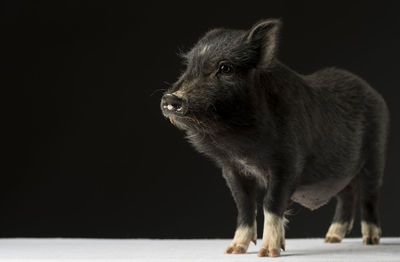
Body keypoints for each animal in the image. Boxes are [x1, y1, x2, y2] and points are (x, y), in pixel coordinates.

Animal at [160, 19, 390, 256]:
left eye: (225, 68)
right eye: (188, 65)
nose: (171, 99)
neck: (243, 147)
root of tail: (376, 95)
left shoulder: (287, 163)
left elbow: (270, 203)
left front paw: (268, 253)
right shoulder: (232, 168)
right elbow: (244, 205)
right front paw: (233, 250)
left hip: (376, 152)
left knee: (369, 196)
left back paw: (370, 241)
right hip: (342, 170)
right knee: (347, 194)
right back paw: (331, 239)